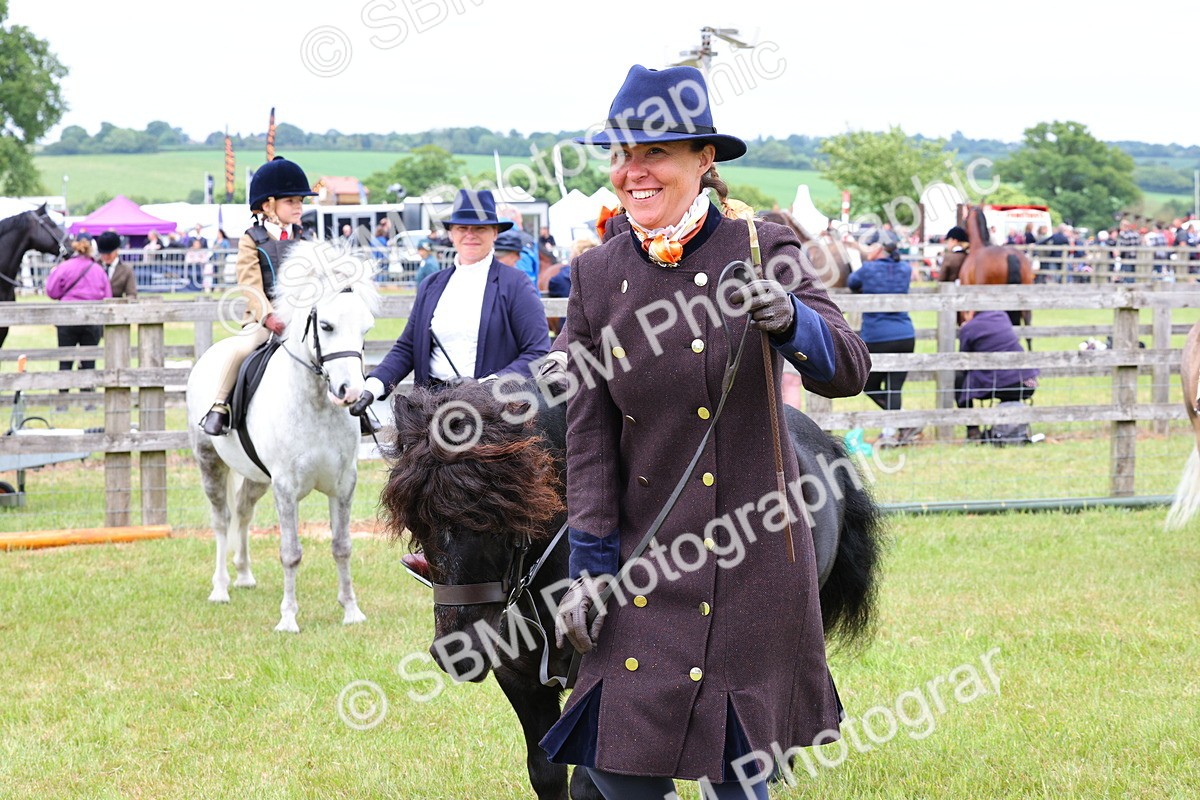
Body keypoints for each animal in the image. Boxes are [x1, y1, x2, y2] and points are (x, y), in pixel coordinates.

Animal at [185, 241, 380, 632]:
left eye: (366, 329)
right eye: (326, 325)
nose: (351, 393)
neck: (316, 403)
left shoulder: (343, 484)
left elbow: (342, 546)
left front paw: (351, 611)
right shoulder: (286, 487)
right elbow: (291, 553)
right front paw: (288, 618)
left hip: (258, 478)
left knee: (243, 511)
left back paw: (244, 575)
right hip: (209, 462)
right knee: (222, 520)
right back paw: (221, 588)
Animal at [380, 379, 883, 800]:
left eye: (495, 515)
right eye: (417, 520)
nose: (455, 650)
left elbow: (589, 781)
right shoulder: (519, 678)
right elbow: (545, 772)